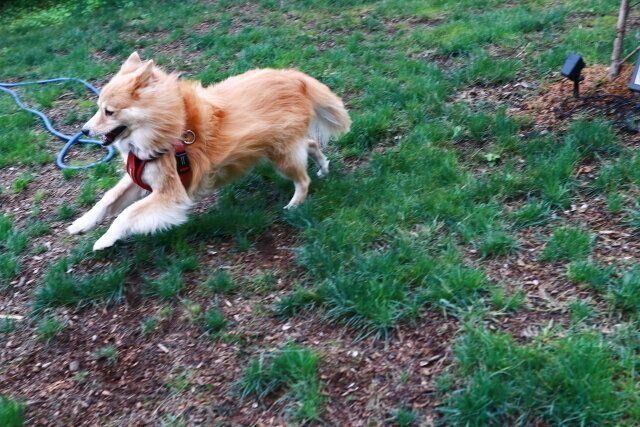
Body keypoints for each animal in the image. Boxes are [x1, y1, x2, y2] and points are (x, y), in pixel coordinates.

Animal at [67, 52, 350, 250]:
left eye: (109, 112)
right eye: (98, 107)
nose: (83, 131)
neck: (165, 126)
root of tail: (294, 77)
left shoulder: (171, 193)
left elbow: (127, 213)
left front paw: (105, 239)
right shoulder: (140, 175)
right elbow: (108, 199)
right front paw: (82, 223)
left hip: (282, 156)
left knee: (303, 179)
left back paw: (294, 204)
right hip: (283, 148)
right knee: (311, 145)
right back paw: (323, 167)